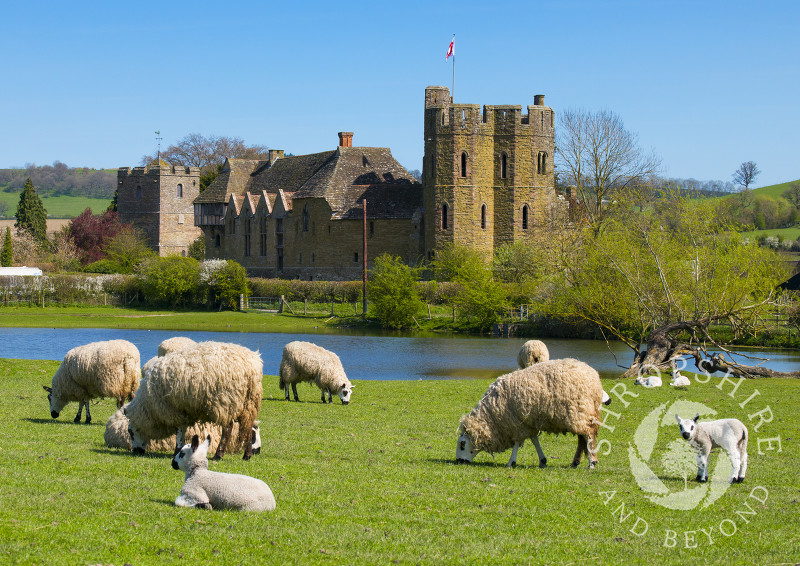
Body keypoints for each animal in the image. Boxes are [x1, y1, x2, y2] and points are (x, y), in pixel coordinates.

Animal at [123, 342, 262, 462]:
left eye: (131, 432)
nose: (136, 452)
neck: (149, 406)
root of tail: (251, 367)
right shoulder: (184, 410)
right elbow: (183, 430)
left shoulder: (174, 410)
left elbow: (179, 432)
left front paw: (177, 451)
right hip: (248, 403)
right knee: (247, 427)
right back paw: (247, 455)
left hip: (226, 401)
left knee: (228, 429)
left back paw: (218, 455)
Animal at [456, 360, 608, 470]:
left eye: (462, 444)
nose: (459, 461)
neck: (492, 417)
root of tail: (594, 377)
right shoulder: (528, 423)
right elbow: (534, 439)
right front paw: (542, 460)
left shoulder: (517, 423)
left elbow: (517, 442)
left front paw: (511, 462)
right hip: (581, 414)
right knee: (582, 438)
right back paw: (575, 462)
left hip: (579, 412)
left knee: (588, 435)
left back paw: (592, 462)